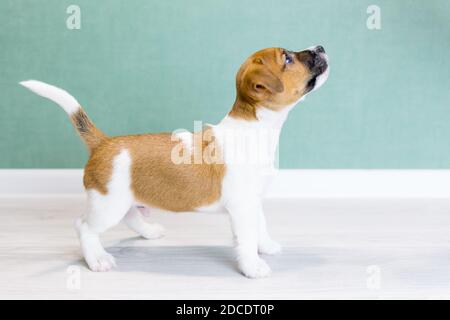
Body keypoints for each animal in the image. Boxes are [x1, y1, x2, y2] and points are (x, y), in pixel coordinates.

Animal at [20, 45, 326, 278]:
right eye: (287, 58)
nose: (320, 47)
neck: (256, 127)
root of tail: (103, 142)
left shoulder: (254, 201)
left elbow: (260, 226)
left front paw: (267, 246)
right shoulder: (242, 207)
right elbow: (247, 238)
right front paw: (253, 266)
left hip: (122, 200)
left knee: (130, 216)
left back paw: (149, 231)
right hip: (108, 205)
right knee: (83, 227)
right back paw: (97, 259)